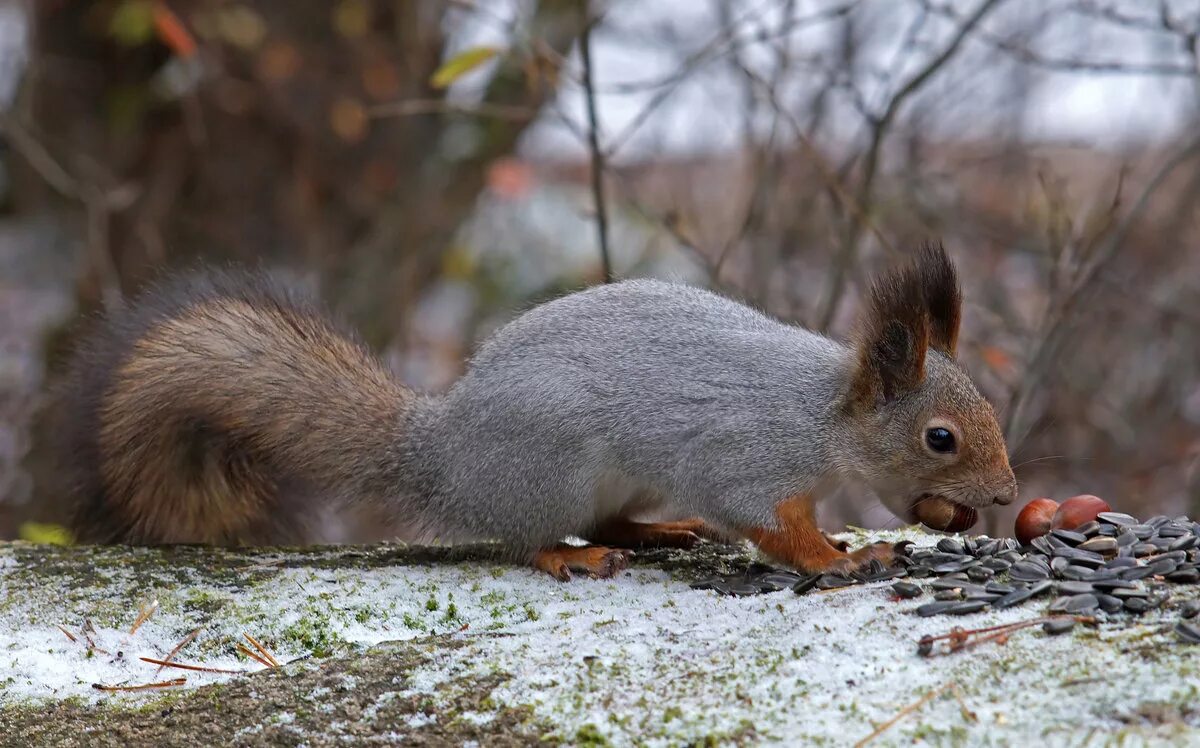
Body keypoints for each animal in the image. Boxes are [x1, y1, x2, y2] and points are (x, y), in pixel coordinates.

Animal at [51, 242, 1017, 583]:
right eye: (940, 439)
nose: (1006, 497)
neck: (821, 419)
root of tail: (441, 456)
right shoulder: (746, 458)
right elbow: (770, 525)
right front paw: (844, 558)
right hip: (552, 468)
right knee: (520, 538)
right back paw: (569, 555)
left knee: (614, 520)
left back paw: (654, 533)